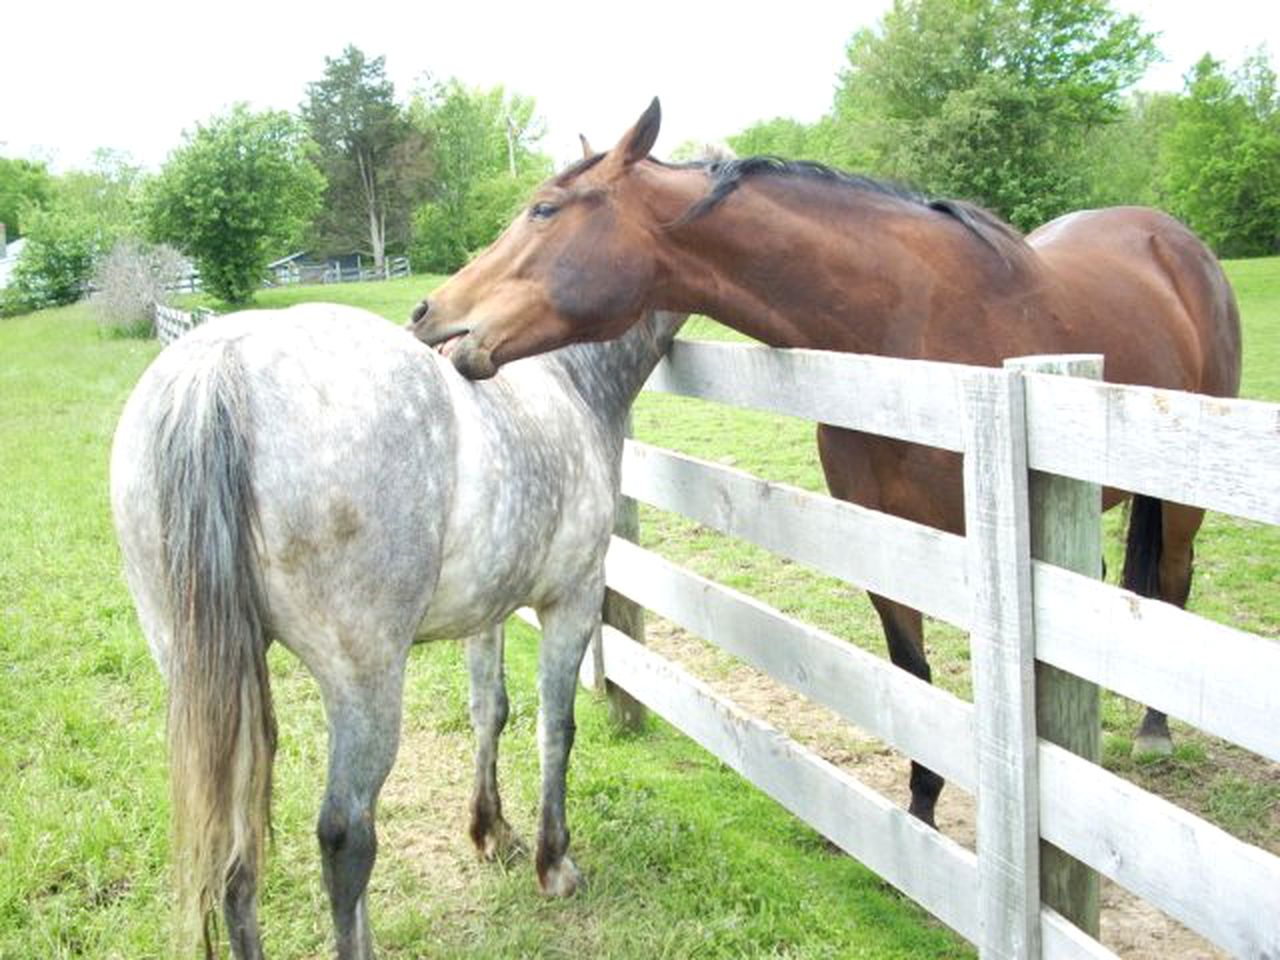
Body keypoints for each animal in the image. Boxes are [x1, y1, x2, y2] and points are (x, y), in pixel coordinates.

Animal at [112, 304, 691, 957]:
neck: (569, 381)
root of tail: (219, 366)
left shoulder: (486, 611)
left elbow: (489, 711)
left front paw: (491, 832)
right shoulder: (574, 599)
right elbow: (556, 729)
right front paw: (554, 864)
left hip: (204, 677)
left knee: (236, 857)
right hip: (364, 679)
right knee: (346, 834)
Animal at [407, 101, 1239, 829]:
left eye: (545, 210)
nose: (426, 315)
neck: (907, 335)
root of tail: (1171, 239)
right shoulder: (884, 540)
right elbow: (911, 673)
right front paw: (921, 813)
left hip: (1183, 495)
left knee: (1171, 584)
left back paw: (1155, 729)